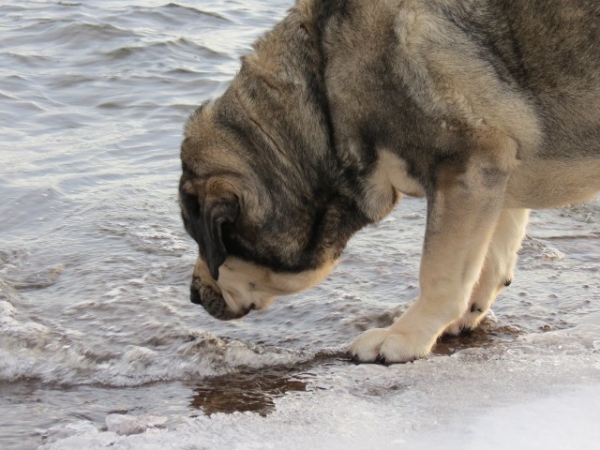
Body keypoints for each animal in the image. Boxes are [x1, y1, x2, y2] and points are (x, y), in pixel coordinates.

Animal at [180, 0, 600, 364]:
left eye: (211, 241)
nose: (194, 296)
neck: (324, 103)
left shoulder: (467, 168)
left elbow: (440, 273)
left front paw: (404, 337)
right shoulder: (497, 175)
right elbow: (491, 258)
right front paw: (463, 313)